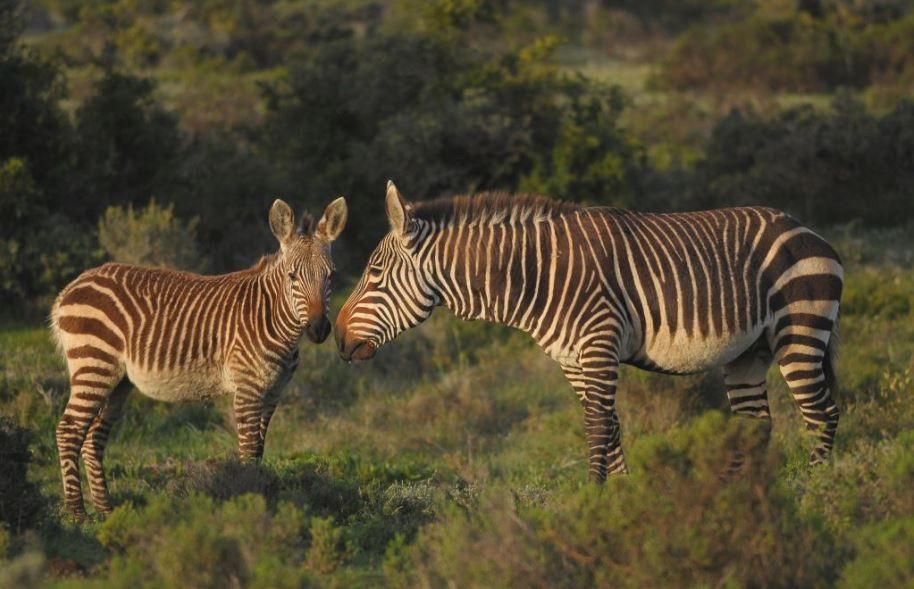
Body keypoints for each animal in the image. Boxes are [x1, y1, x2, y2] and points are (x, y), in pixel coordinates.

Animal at [51, 196, 348, 516]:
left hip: (116, 382)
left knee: (93, 438)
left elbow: (259, 449)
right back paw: (77, 513)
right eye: (292, 276)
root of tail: (71, 287)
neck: (272, 318)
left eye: (331, 275)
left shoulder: (273, 393)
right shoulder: (248, 389)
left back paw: (106, 511)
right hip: (94, 364)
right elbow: (247, 451)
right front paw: (251, 502)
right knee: (68, 431)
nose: (318, 329)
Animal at [334, 181, 840, 480]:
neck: (535, 274)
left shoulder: (599, 344)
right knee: (756, 424)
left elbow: (597, 426)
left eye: (374, 274)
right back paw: (743, 497)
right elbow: (610, 427)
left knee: (822, 412)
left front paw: (594, 500)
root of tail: (809, 230)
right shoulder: (572, 359)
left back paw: (815, 491)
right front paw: (620, 495)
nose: (337, 339)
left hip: (800, 330)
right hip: (747, 353)